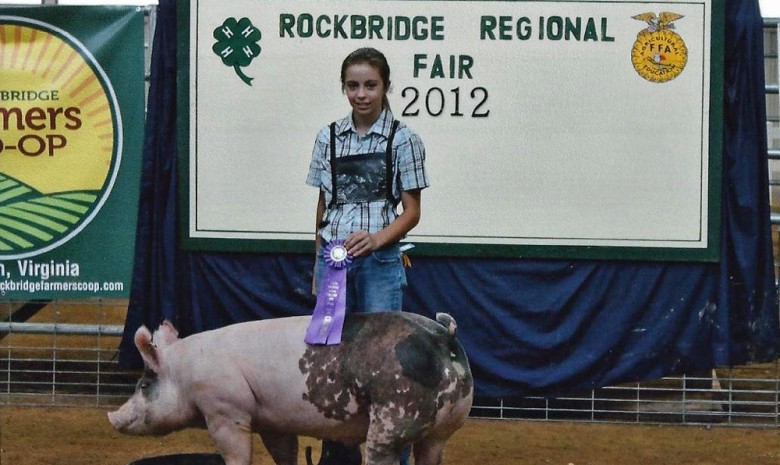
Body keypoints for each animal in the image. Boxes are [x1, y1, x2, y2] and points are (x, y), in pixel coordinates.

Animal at [108, 310, 476, 465]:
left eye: (144, 384)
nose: (112, 418)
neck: (184, 374)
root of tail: (444, 336)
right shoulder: (272, 421)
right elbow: (285, 452)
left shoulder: (225, 410)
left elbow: (236, 453)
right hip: (444, 428)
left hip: (392, 421)